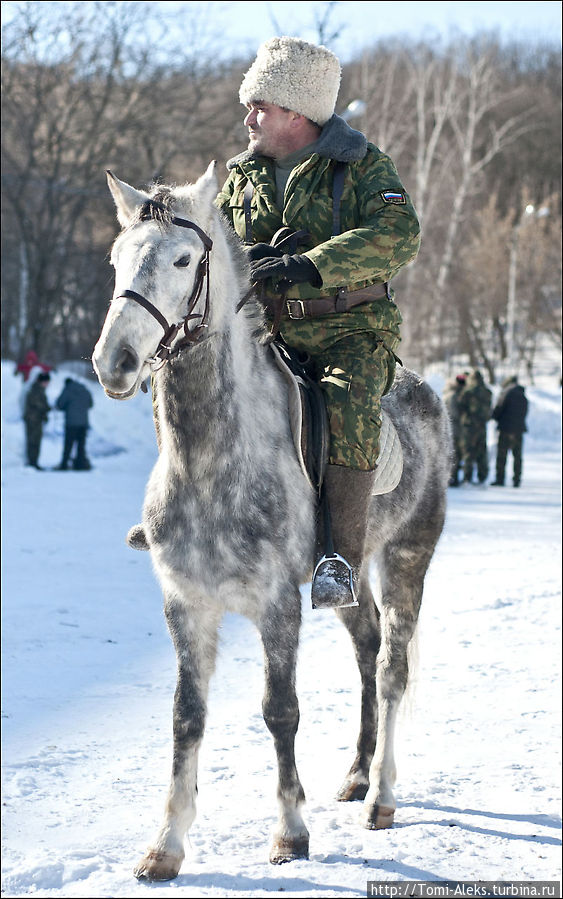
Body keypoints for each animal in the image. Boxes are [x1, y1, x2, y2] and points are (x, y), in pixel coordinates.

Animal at [94, 165, 452, 884]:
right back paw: (355, 773)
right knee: (367, 648)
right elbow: (186, 716)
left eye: (182, 260)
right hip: (347, 574)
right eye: (117, 259)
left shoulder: (275, 603)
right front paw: (166, 844)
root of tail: (422, 389)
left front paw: (289, 831)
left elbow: (279, 709)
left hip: (407, 556)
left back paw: (381, 794)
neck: (212, 459)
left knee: (392, 667)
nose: (113, 360)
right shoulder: (185, 604)